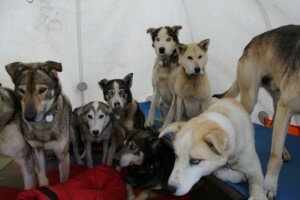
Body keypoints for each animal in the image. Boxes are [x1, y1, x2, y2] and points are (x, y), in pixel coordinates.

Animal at [213, 24, 300, 199]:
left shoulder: (284, 109)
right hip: (251, 98)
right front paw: (269, 186)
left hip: (278, 99)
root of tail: (253, 41)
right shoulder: (286, 107)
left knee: (275, 128)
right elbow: (274, 157)